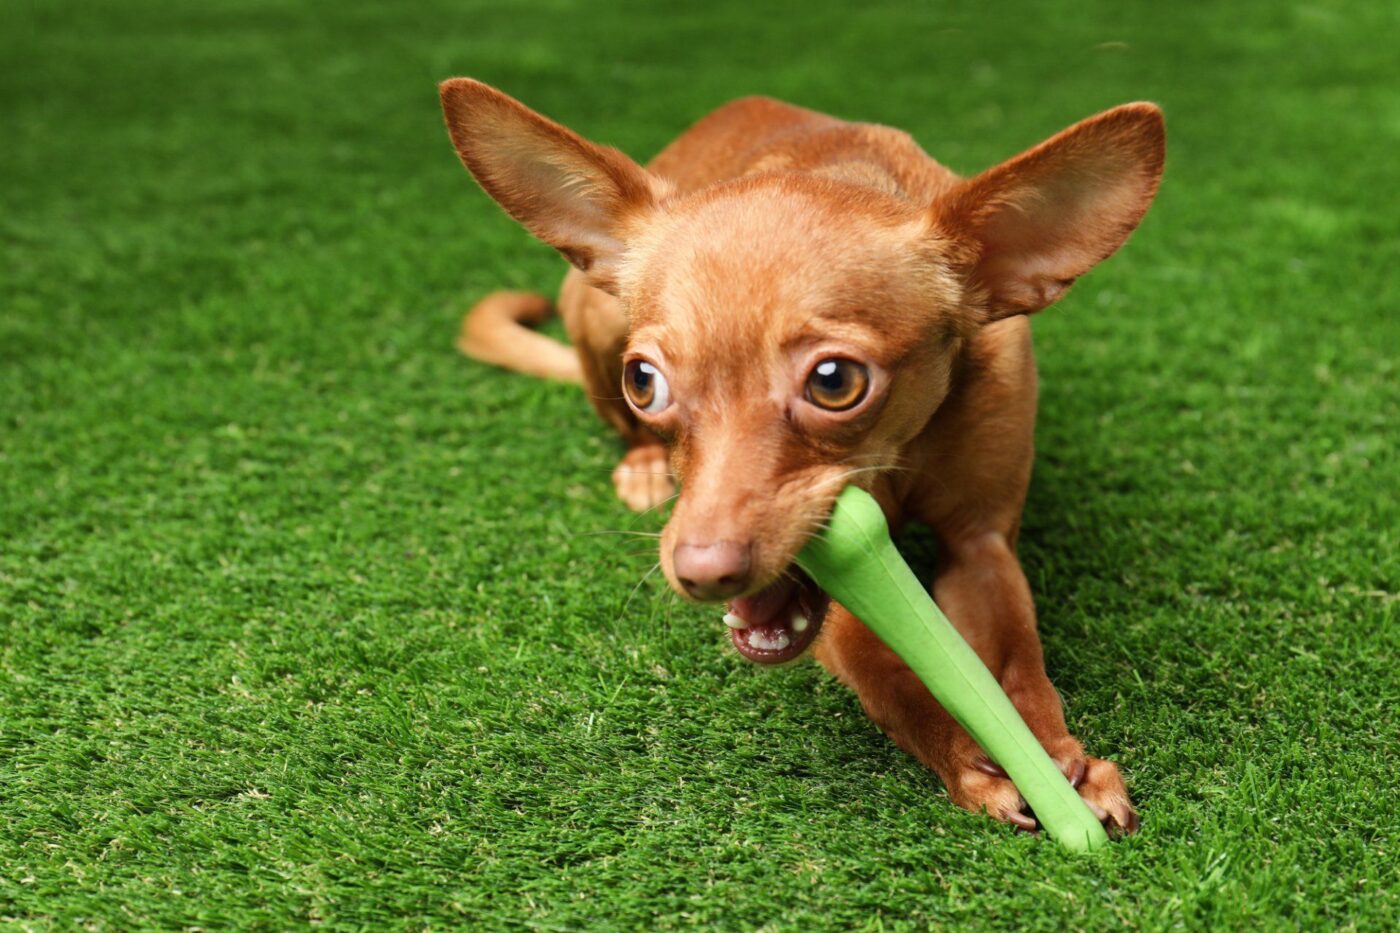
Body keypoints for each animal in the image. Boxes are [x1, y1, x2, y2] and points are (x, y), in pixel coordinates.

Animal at [442, 79, 1164, 829]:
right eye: (643, 380)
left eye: (834, 381)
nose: (700, 570)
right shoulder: (849, 594)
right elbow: (894, 674)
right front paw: (971, 756)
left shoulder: (981, 545)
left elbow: (1018, 655)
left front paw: (1056, 754)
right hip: (592, 311)